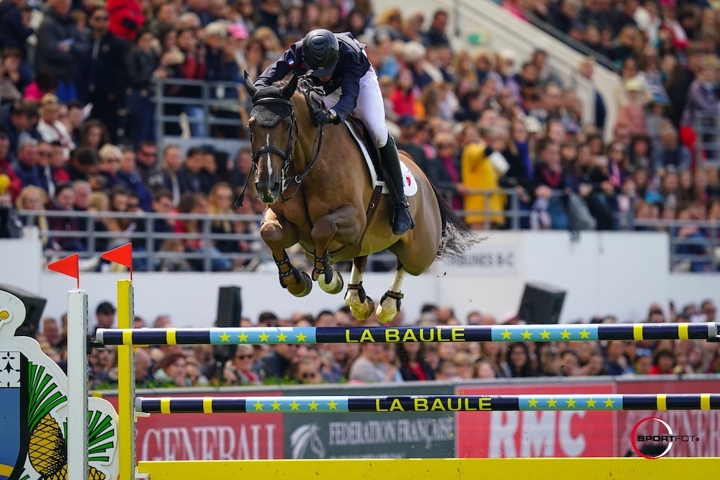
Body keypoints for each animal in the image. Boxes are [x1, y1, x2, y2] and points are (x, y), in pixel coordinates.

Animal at [242, 75, 478, 322]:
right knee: (362, 256)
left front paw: (328, 278)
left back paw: (388, 305)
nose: (267, 186)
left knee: (404, 263)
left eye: (288, 125)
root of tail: (420, 172)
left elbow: (322, 228)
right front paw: (296, 281)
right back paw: (357, 299)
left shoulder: (354, 221)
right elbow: (270, 232)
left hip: (420, 253)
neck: (309, 165)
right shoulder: (283, 219)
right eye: (251, 126)